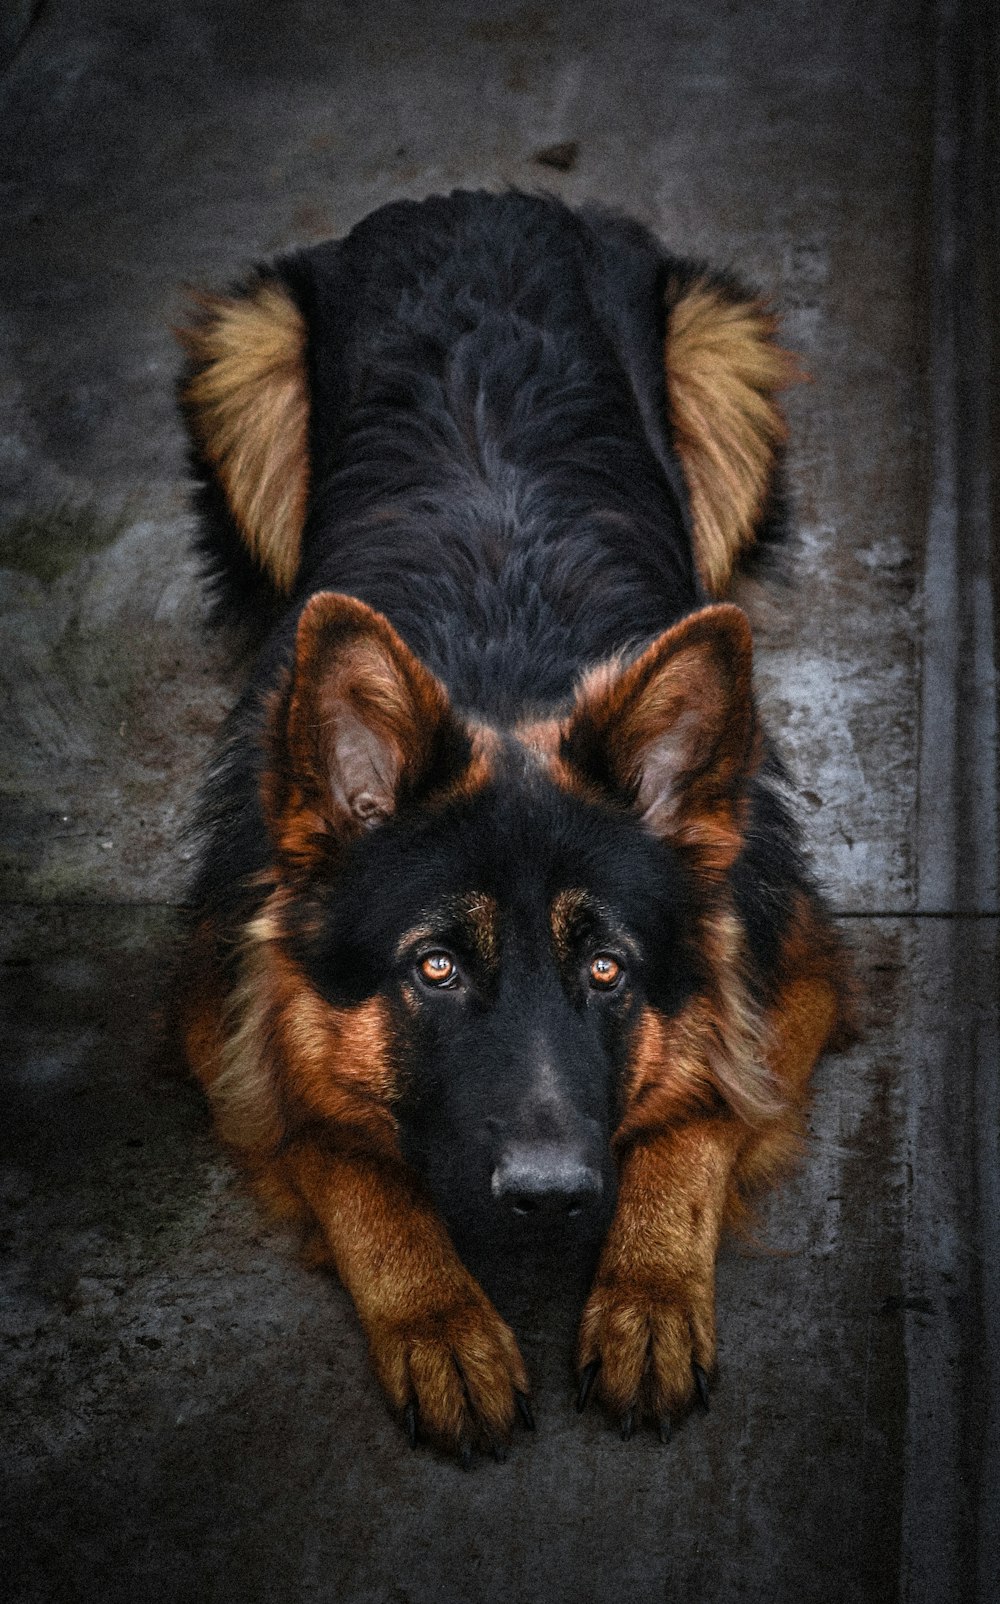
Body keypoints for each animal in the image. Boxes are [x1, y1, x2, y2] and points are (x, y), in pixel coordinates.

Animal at [178, 190, 853, 1469]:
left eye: (607, 969)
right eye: (435, 967)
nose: (546, 1201)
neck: (502, 674)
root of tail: (473, 202)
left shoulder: (786, 978)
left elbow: (701, 1110)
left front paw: (646, 1288)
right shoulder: (226, 1018)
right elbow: (346, 1150)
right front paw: (441, 1317)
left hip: (720, 362)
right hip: (244, 361)